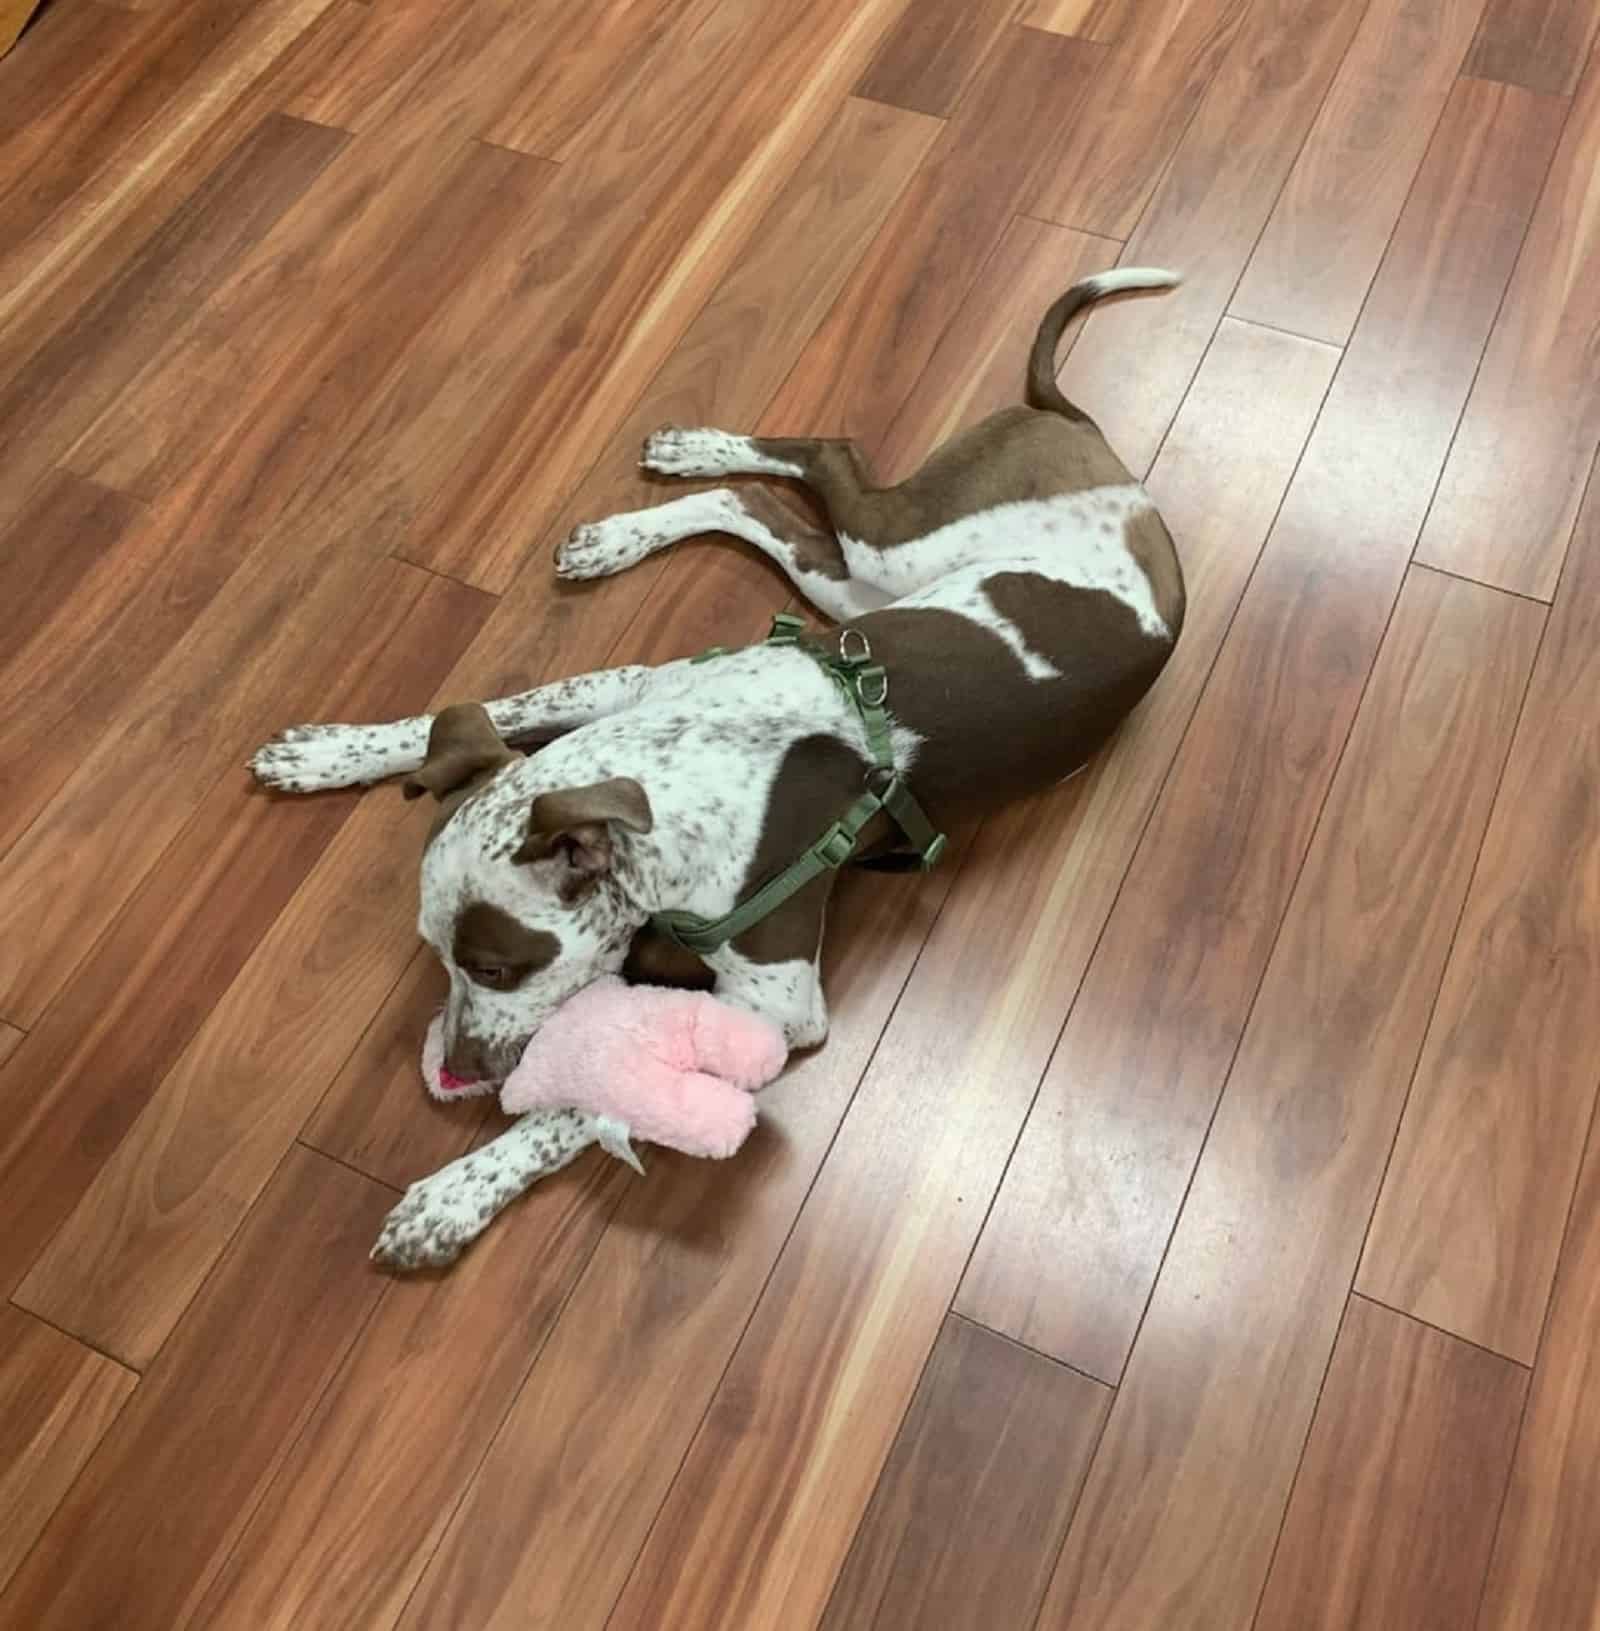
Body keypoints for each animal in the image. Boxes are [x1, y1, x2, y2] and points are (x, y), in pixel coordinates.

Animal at [252, 267, 1187, 1265]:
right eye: (437, 955)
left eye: (499, 968)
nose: (458, 1068)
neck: (688, 779)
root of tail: (1103, 451)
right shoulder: (627, 686)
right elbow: (496, 709)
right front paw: (330, 751)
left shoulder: (776, 1011)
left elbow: (581, 1106)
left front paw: (453, 1197)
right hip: (864, 590)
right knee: (765, 500)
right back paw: (657, 491)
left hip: (894, 555)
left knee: (829, 461)